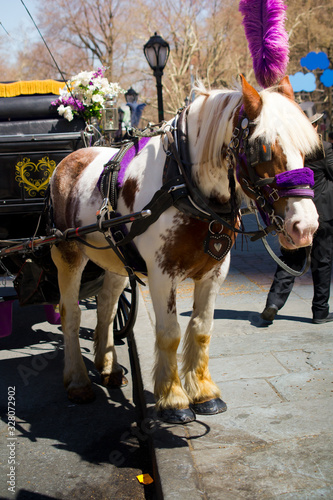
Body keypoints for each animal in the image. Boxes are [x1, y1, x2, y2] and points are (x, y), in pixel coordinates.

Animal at [50, 76, 320, 424]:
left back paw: (108, 366)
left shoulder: (214, 273)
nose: (306, 227)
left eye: (308, 151)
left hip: (114, 258)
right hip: (67, 252)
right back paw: (78, 381)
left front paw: (204, 392)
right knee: (70, 313)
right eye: (262, 150)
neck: (184, 185)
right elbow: (170, 333)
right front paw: (174, 399)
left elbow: (201, 329)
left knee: (107, 307)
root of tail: (74, 155)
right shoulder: (161, 275)